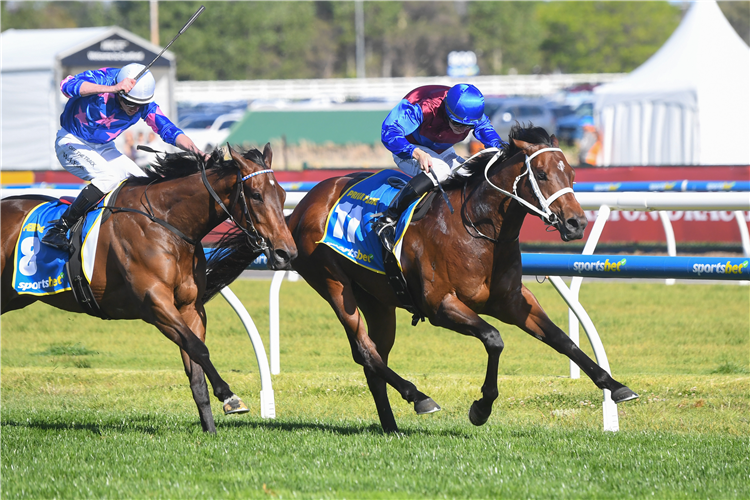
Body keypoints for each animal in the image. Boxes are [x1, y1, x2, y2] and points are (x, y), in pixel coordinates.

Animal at [0, 145, 300, 434]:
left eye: (283, 194)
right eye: (256, 195)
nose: (286, 253)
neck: (168, 225)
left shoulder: (190, 307)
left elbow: (195, 368)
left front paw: (210, 430)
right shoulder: (155, 304)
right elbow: (198, 348)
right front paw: (229, 396)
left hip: (13, 297)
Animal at [288, 125, 640, 434]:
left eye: (572, 175)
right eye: (541, 174)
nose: (576, 223)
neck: (478, 230)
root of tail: (302, 206)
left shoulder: (513, 301)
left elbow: (561, 339)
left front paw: (616, 385)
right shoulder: (440, 305)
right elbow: (494, 339)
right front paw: (481, 408)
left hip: (377, 301)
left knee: (374, 359)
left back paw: (391, 426)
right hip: (334, 284)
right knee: (364, 350)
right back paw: (420, 398)